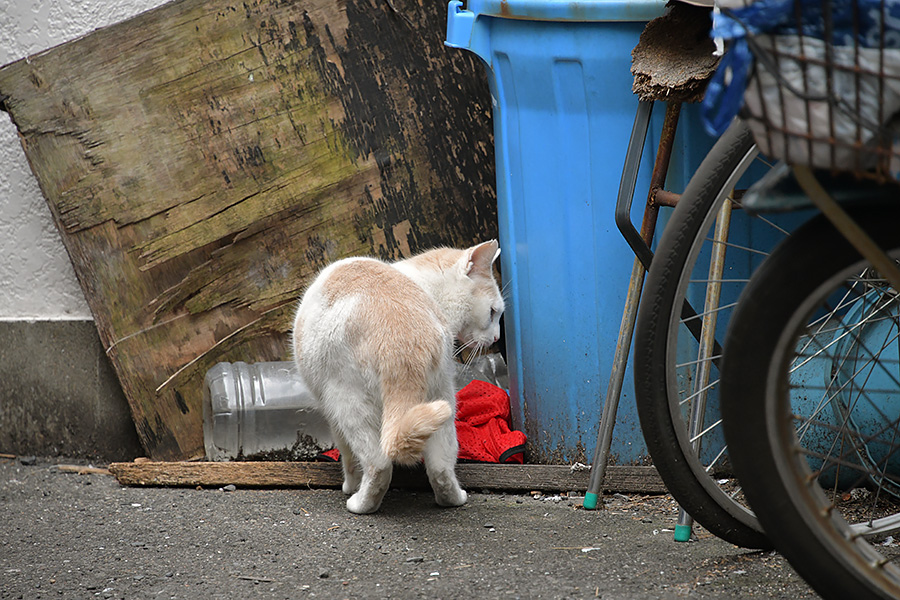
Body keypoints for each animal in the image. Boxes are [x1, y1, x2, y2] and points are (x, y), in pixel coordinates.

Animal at [296, 241, 506, 512]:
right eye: (492, 313)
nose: (497, 338)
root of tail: (402, 338)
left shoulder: (331, 416)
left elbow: (347, 456)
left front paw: (349, 486)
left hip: (347, 403)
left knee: (378, 464)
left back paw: (360, 504)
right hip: (442, 399)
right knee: (440, 467)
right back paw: (453, 498)